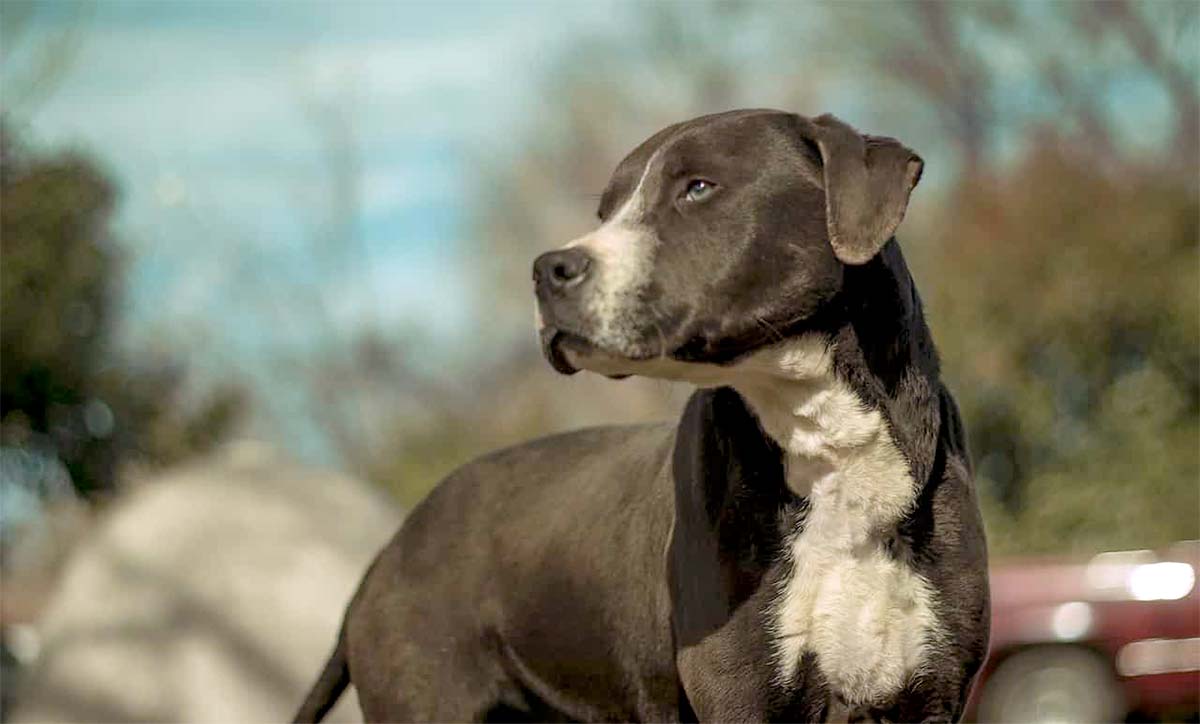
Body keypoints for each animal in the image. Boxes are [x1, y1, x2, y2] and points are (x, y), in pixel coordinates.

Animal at [295, 107, 988, 724]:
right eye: (605, 213)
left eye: (698, 188)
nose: (548, 269)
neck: (821, 437)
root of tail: (389, 550)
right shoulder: (740, 693)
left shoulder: (932, 695)